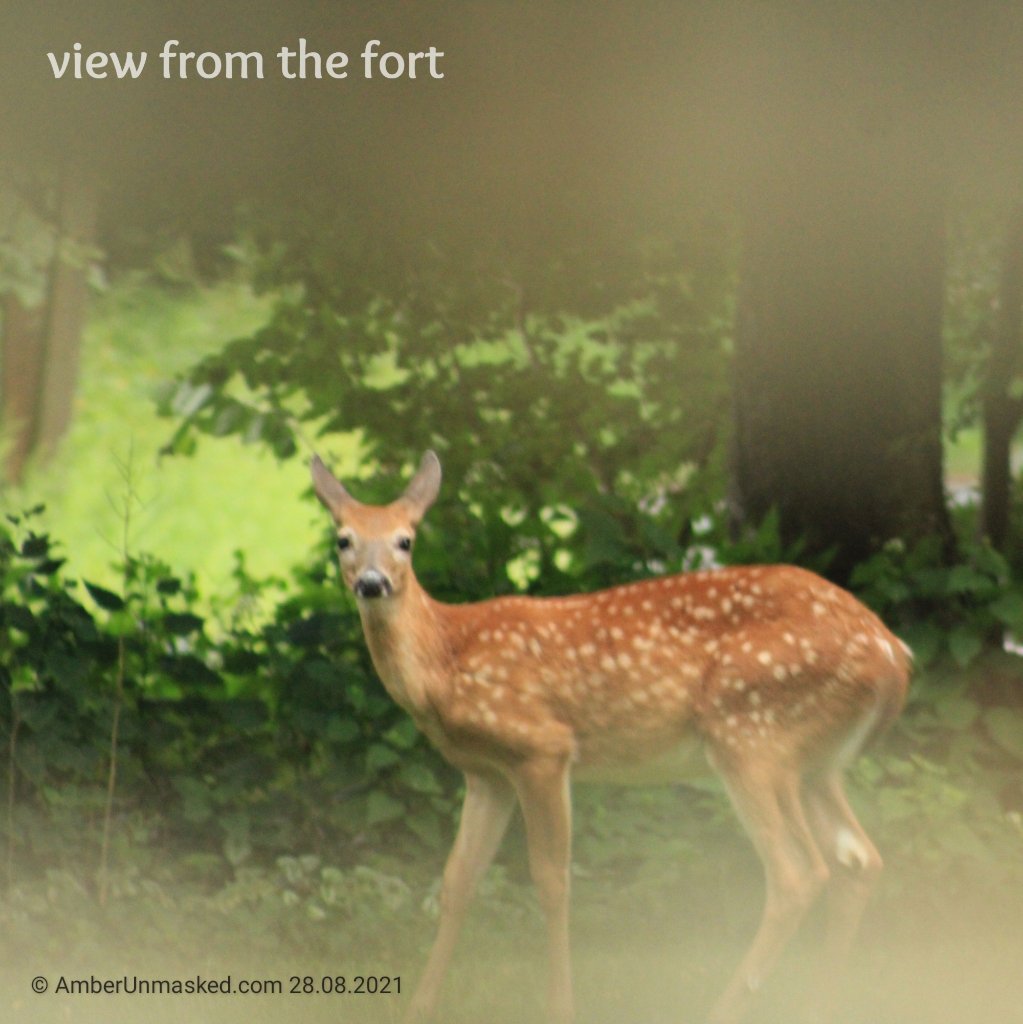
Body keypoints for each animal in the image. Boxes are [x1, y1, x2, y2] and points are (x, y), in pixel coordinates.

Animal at [310, 450, 911, 1024]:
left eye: (405, 540)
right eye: (344, 539)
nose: (372, 583)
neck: (446, 658)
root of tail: (892, 653)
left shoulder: (543, 748)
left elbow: (552, 882)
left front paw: (560, 1009)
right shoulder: (486, 774)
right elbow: (458, 881)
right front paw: (420, 1010)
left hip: (750, 732)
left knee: (797, 872)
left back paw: (721, 1010)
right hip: (814, 763)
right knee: (859, 859)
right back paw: (818, 1008)